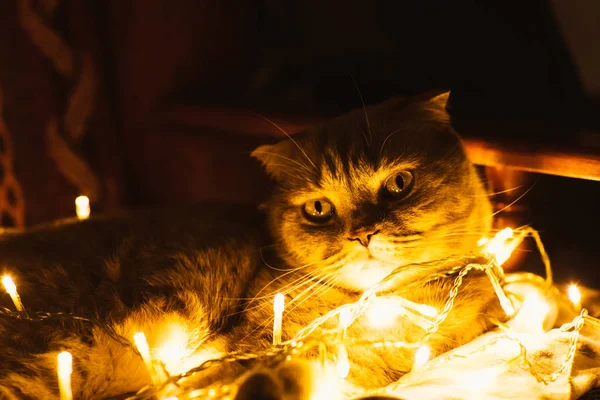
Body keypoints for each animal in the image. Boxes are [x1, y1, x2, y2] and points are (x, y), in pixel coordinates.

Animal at [0, 92, 502, 398]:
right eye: (318, 209)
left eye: (399, 183)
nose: (362, 233)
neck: (379, 305)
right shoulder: (250, 340)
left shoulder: (369, 361)